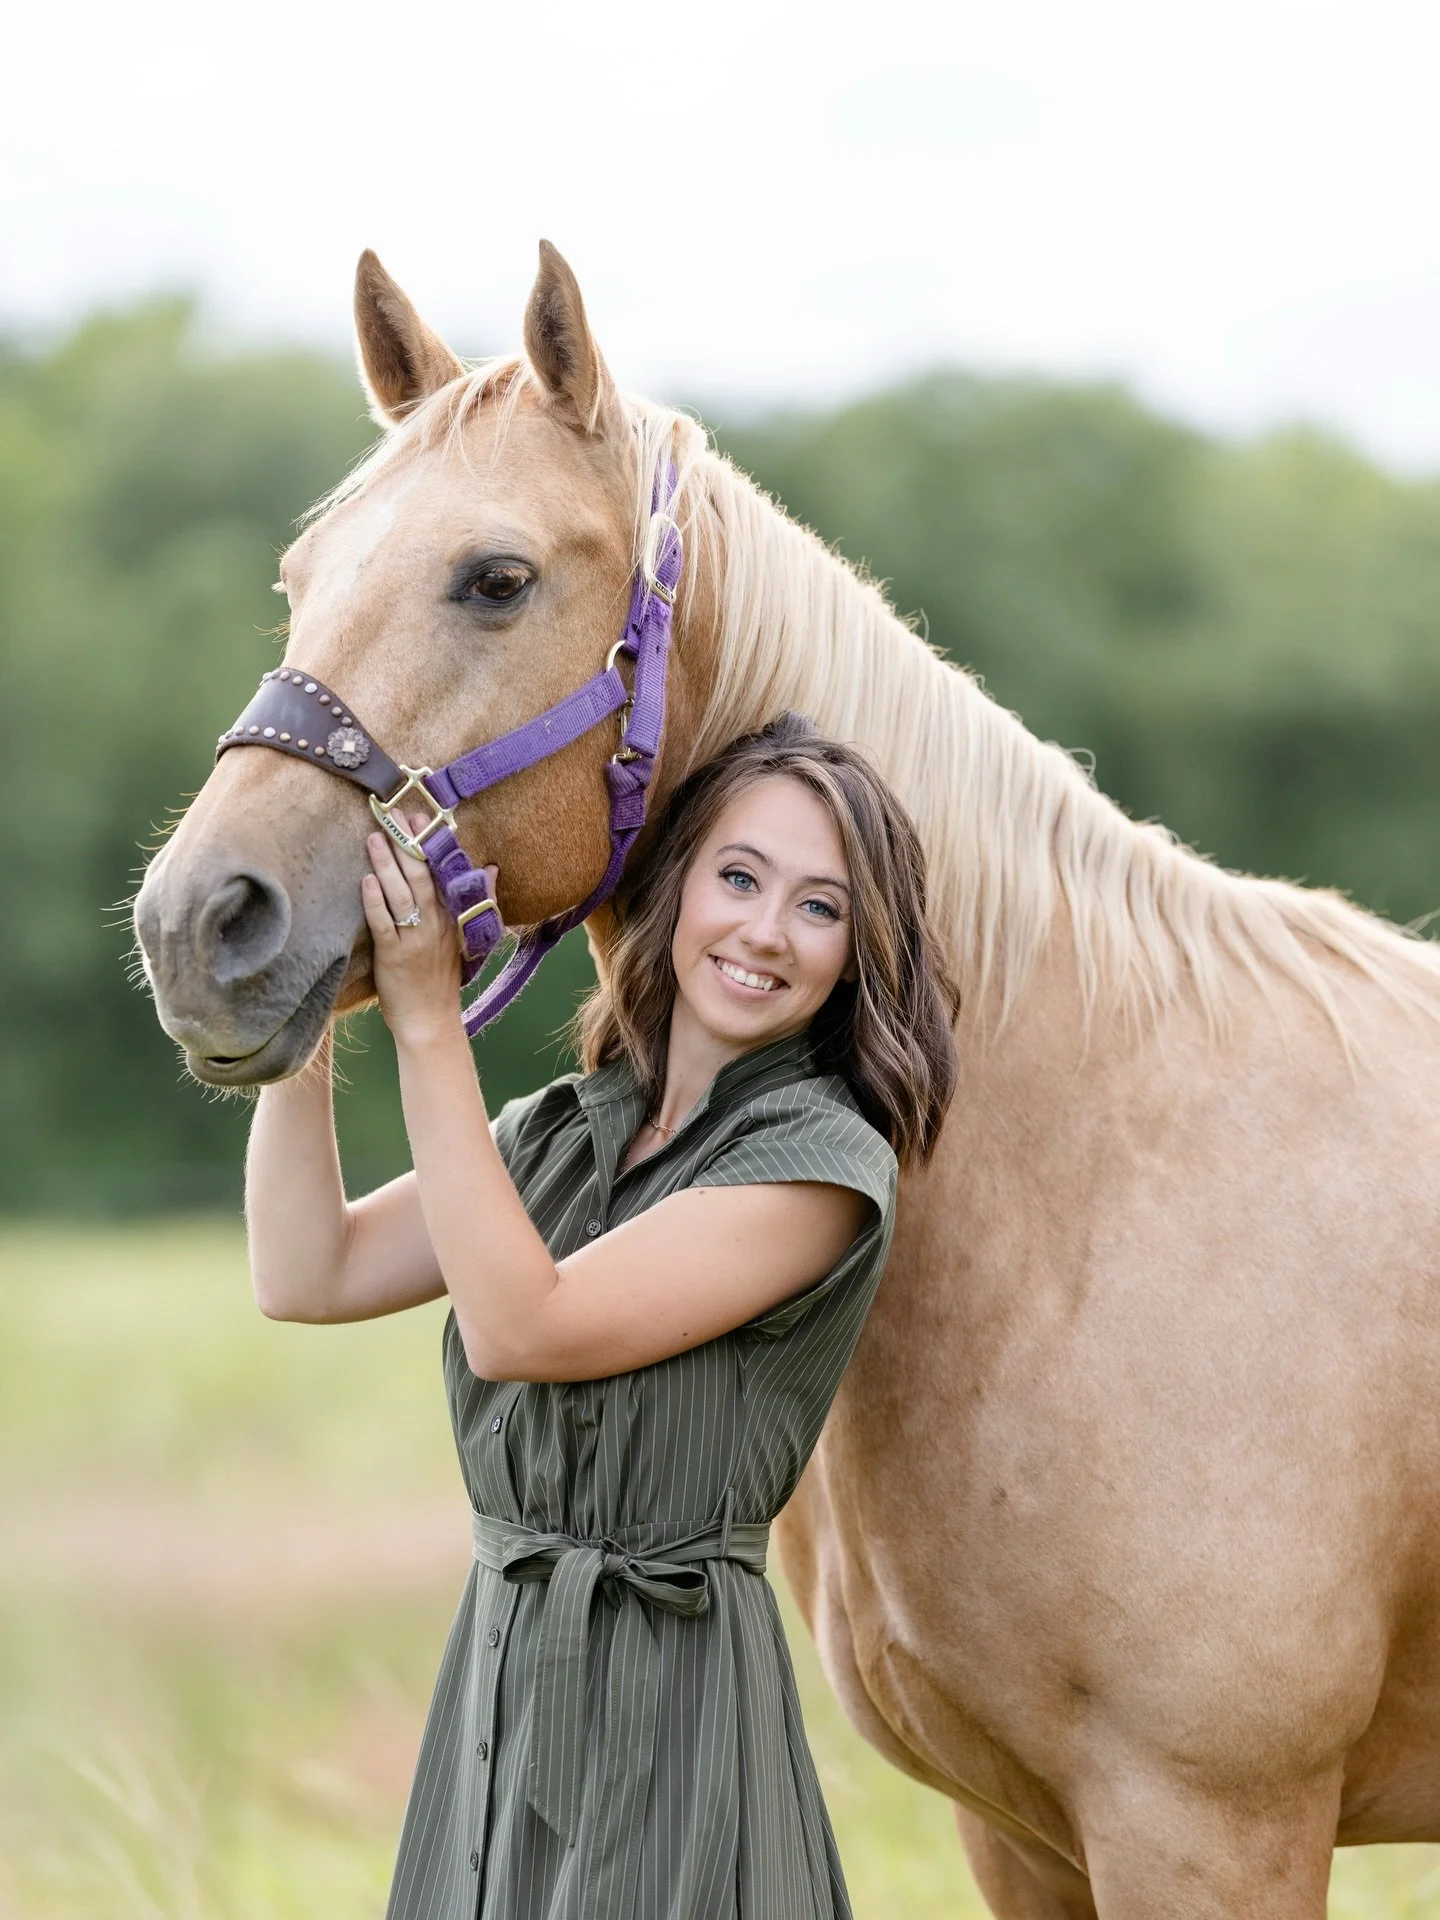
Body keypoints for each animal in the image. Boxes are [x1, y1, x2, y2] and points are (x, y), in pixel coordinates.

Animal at [134, 242, 1440, 1918]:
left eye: (495, 578)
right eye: (301, 583)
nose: (199, 924)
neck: (1084, 1196)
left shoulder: (1210, 1825)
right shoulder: (1024, 1834)